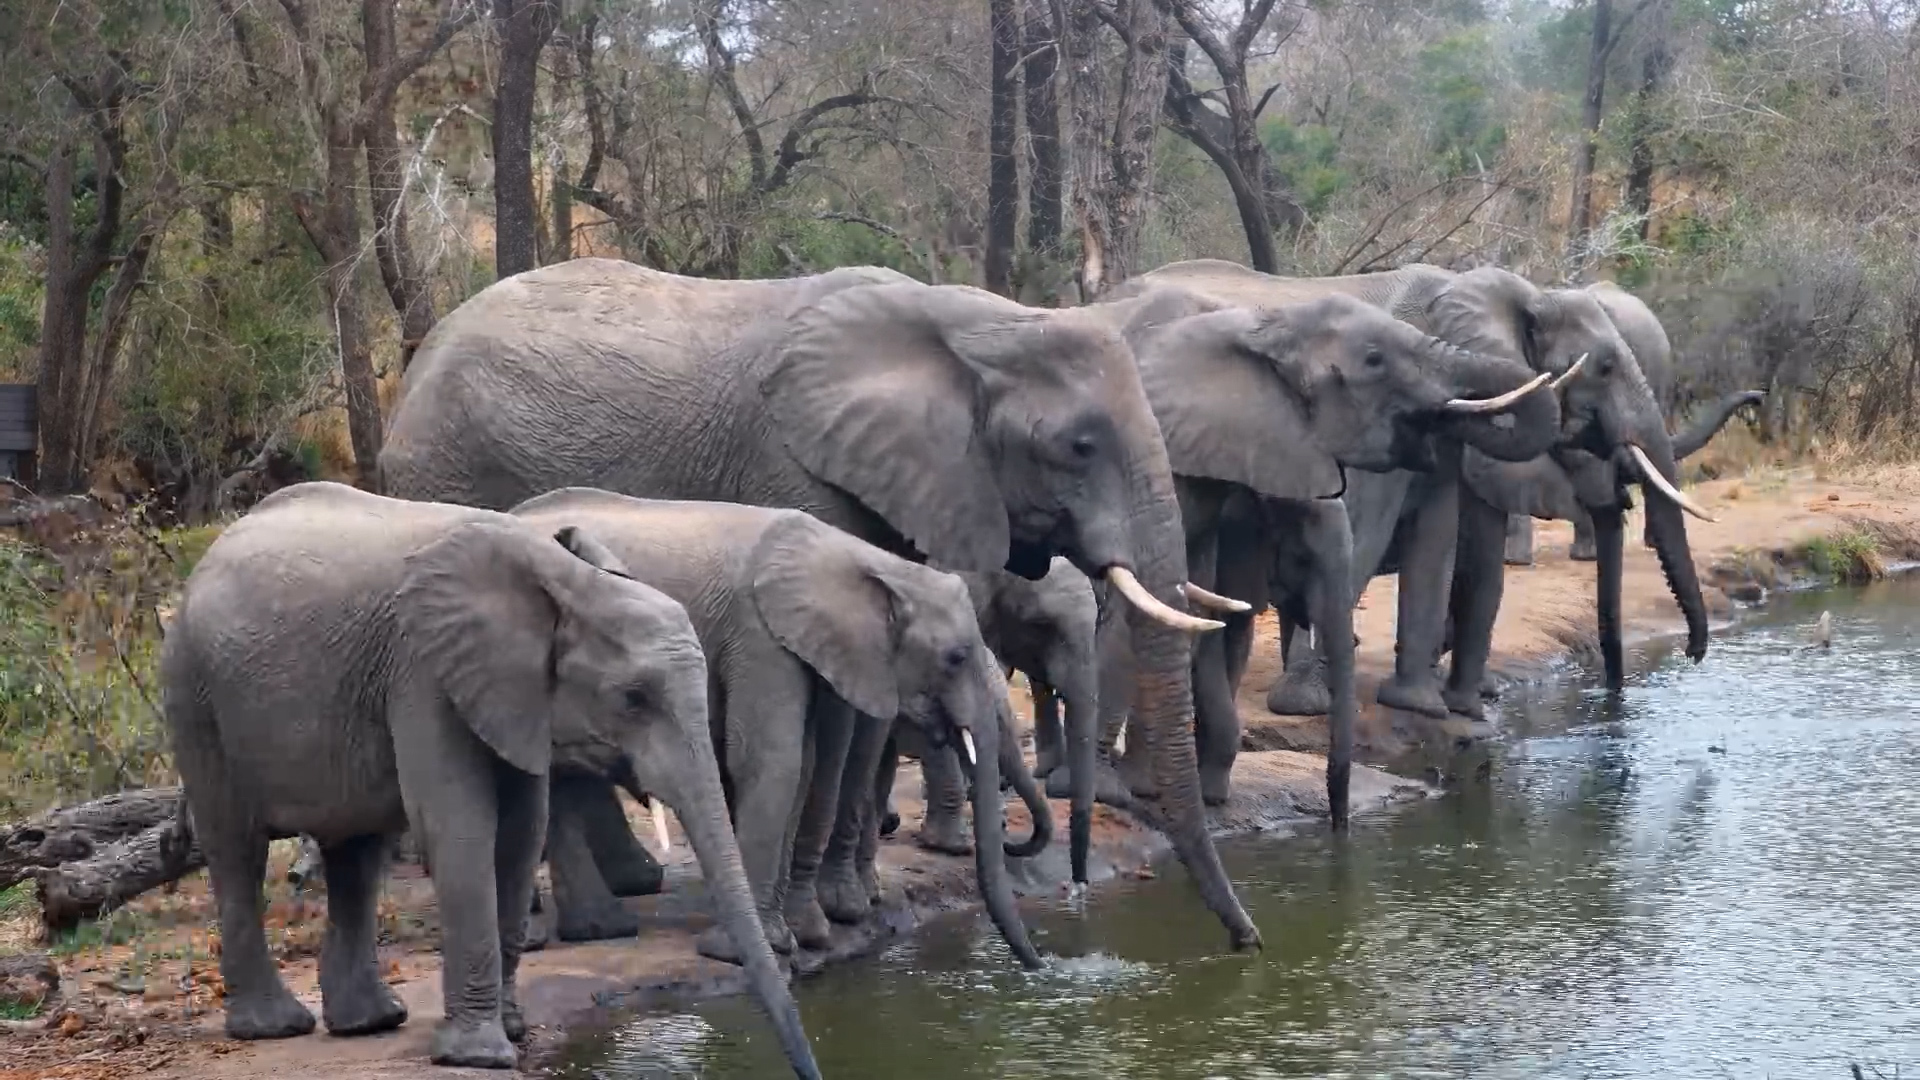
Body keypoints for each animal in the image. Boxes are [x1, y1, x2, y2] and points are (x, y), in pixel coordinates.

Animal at [157, 482, 817, 1077]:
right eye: (633, 698)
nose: (805, 1068)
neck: (564, 582)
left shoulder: (511, 695)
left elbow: (521, 833)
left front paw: (513, 1031)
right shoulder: (424, 670)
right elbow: (461, 827)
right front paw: (480, 1056)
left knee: (357, 855)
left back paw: (370, 1021)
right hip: (194, 697)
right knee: (237, 850)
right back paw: (274, 1027)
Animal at [511, 488, 1042, 967]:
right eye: (955, 657)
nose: (1041, 965)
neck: (862, 559)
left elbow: (800, 765)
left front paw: (789, 941)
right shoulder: (757, 634)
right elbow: (773, 759)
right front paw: (738, 953)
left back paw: (597, 928)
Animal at [1127, 258, 1710, 725]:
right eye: (1605, 366)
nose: (1692, 656)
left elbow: (1444, 541)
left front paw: (1430, 707)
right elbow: (1369, 532)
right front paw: (1306, 705)